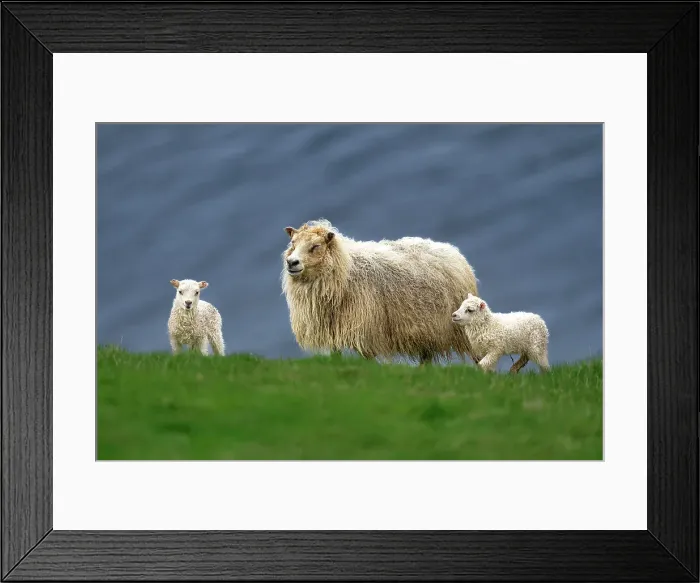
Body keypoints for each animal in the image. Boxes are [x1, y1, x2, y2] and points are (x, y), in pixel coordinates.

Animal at [280, 219, 479, 365]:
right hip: (427, 331)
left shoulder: (366, 332)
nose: (292, 262)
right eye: (293, 243)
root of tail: (453, 251)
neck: (345, 269)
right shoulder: (334, 331)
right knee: (426, 358)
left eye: (316, 246)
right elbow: (337, 357)